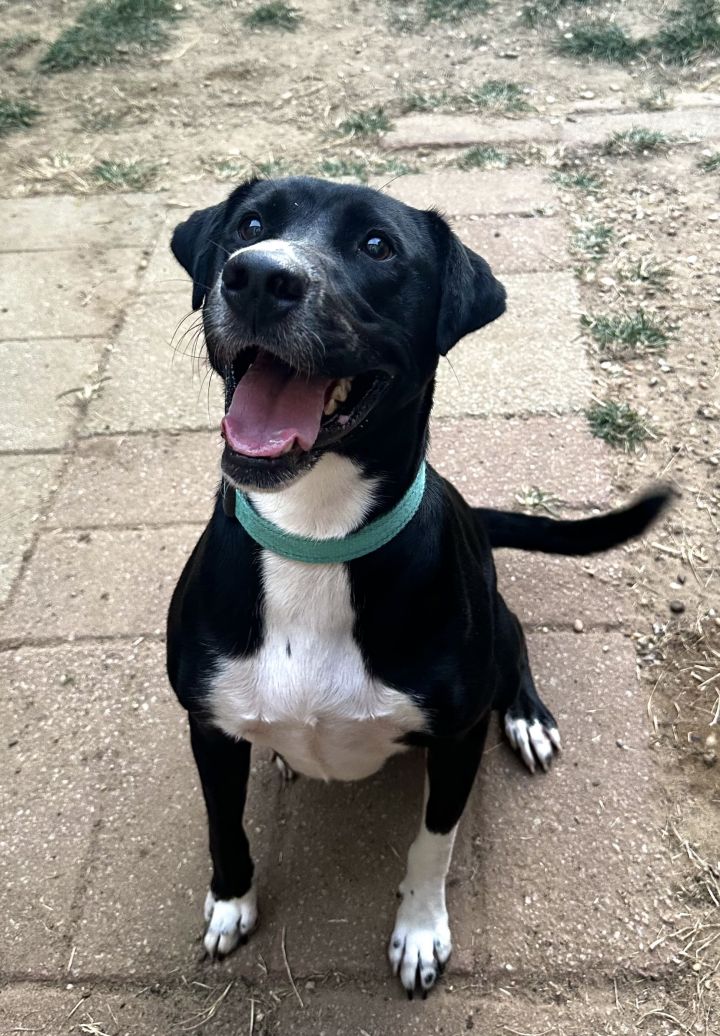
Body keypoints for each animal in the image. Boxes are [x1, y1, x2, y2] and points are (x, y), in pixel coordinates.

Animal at [165, 176, 667, 994]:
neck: (315, 535)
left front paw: (421, 932)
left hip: (496, 622)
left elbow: (434, 841)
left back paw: (527, 717)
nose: (259, 276)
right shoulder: (208, 724)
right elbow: (223, 823)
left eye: (378, 246)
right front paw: (231, 902)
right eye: (251, 223)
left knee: (516, 652)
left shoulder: (455, 740)